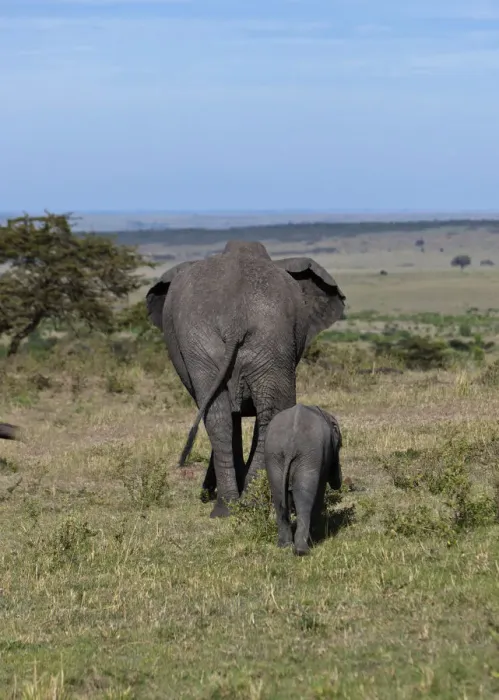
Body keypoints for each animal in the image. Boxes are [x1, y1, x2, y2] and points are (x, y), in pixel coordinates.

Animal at [146, 239, 345, 518]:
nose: (204, 492)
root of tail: (235, 318)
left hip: (236, 340)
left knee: (225, 414)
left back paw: (235, 505)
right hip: (255, 339)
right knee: (252, 413)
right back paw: (241, 504)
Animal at [264, 403, 342, 556]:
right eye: (340, 447)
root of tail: (290, 445)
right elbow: (320, 489)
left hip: (273, 456)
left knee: (279, 498)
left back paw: (284, 546)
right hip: (308, 457)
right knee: (305, 497)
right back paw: (302, 549)